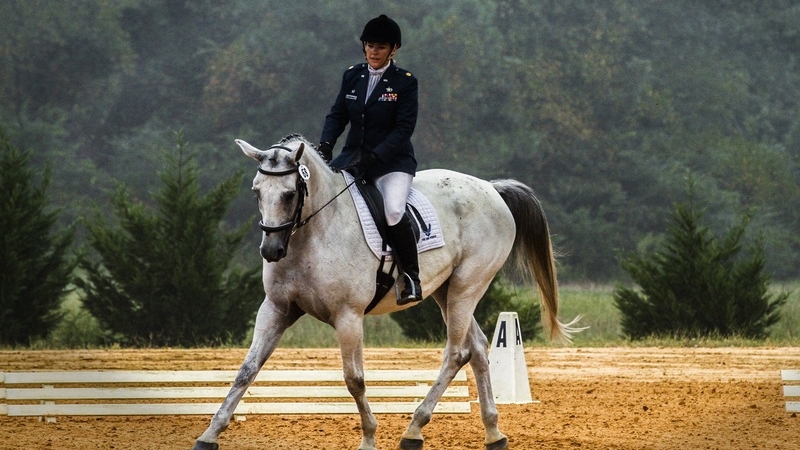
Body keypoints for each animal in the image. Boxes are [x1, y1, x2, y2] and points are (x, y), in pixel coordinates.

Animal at [194, 134, 580, 450]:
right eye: (256, 192)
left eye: (290, 194)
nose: (271, 251)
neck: (312, 234)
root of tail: (491, 189)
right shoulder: (276, 309)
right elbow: (247, 369)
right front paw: (210, 434)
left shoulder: (348, 317)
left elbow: (355, 379)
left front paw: (368, 438)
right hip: (445, 292)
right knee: (479, 349)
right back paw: (493, 433)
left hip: (467, 287)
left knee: (457, 353)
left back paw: (414, 429)